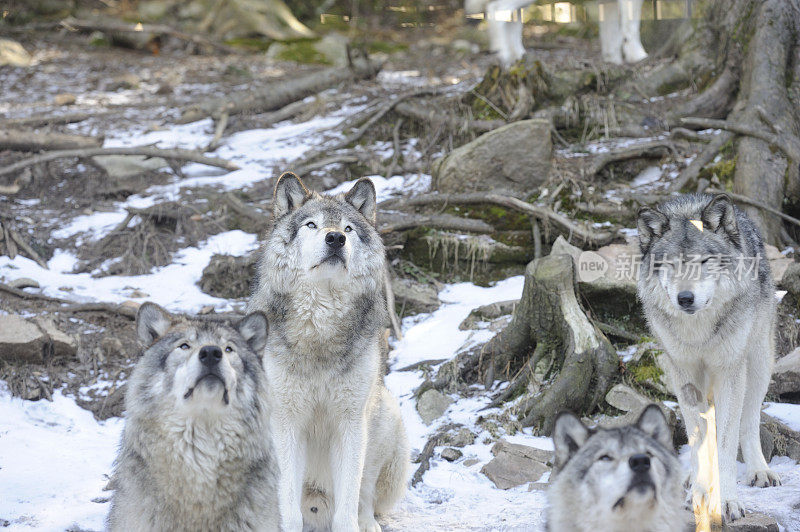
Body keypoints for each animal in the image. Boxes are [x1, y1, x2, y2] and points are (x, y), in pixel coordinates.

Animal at [247, 172, 410, 528]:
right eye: (312, 224)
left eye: (348, 228)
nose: (335, 238)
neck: (320, 327)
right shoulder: (286, 423)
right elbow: (288, 508)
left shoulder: (350, 422)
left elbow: (348, 505)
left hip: (384, 415)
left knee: (364, 496)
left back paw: (369, 524)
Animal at [636, 193, 780, 520]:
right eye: (670, 264)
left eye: (704, 261)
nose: (685, 298)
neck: (699, 330)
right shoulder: (685, 374)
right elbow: (698, 438)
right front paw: (699, 495)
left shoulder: (729, 372)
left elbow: (726, 444)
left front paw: (727, 502)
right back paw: (689, 478)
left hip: (758, 363)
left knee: (749, 420)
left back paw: (759, 471)